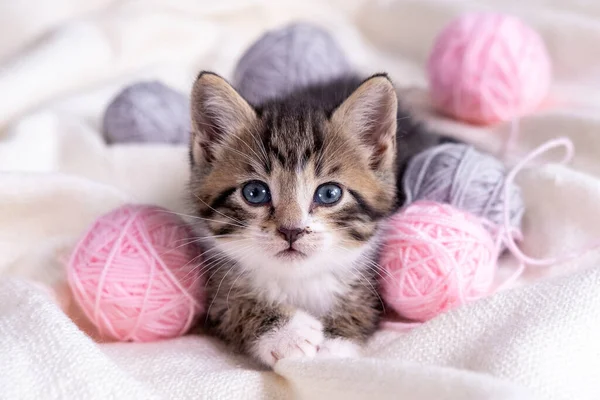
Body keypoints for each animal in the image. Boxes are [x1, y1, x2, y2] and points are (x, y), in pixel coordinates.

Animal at [189, 71, 446, 366]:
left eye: (329, 194)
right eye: (254, 193)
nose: (291, 230)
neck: (299, 279)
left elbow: (362, 307)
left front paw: (331, 348)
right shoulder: (217, 289)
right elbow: (232, 306)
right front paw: (288, 334)